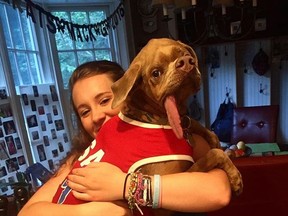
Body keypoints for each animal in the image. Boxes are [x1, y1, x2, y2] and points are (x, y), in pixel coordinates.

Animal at [111, 37, 242, 214]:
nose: (187, 62)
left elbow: (204, 130)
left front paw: (215, 142)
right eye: (156, 73)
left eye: (186, 54)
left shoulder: (185, 122)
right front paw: (235, 178)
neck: (150, 116)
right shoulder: (169, 193)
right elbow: (214, 154)